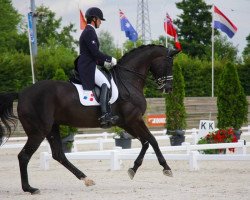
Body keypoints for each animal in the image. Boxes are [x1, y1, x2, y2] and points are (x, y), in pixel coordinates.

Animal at [0, 44, 180, 195]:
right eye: (169, 64)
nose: (169, 89)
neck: (128, 80)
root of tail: (22, 93)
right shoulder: (134, 120)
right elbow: (152, 140)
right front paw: (166, 168)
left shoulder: (126, 123)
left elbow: (146, 142)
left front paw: (133, 169)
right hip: (38, 131)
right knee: (24, 156)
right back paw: (30, 188)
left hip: (52, 128)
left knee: (59, 155)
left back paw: (86, 179)